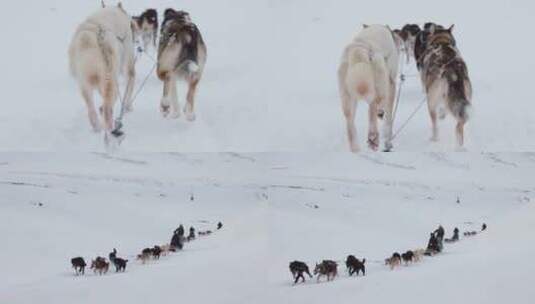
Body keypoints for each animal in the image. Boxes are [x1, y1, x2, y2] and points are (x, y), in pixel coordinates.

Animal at [69, 2, 137, 135]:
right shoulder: (128, 60)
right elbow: (130, 83)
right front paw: (128, 106)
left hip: (85, 83)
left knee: (92, 108)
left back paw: (97, 126)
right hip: (111, 78)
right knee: (107, 106)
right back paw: (110, 127)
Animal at [338, 24, 400, 152]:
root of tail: (359, 49)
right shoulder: (391, 85)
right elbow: (388, 116)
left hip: (348, 99)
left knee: (350, 121)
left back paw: (355, 148)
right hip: (380, 86)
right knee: (373, 107)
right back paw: (373, 138)